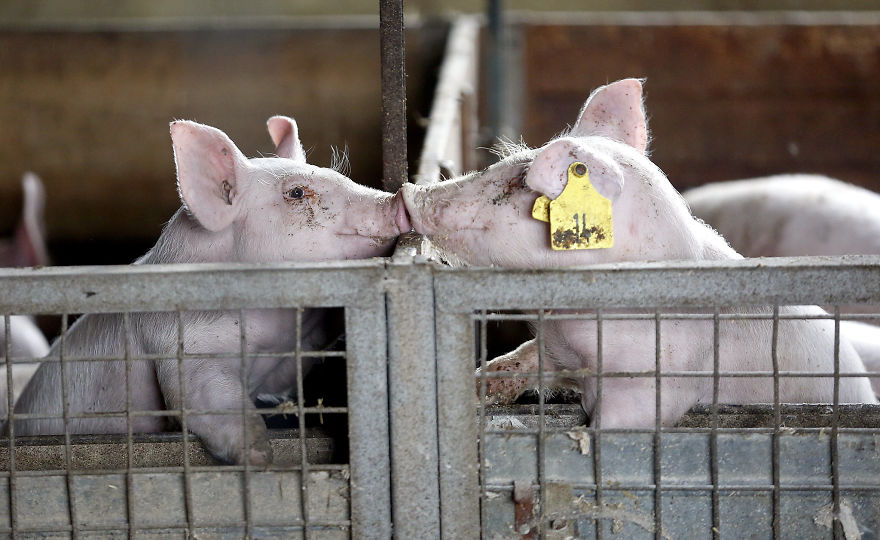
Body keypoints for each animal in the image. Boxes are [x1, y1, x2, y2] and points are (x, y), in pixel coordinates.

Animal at [12, 117, 411, 465]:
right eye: (297, 192)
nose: (398, 200)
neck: (264, 328)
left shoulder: (280, 360)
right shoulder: (180, 344)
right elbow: (202, 397)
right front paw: (260, 458)